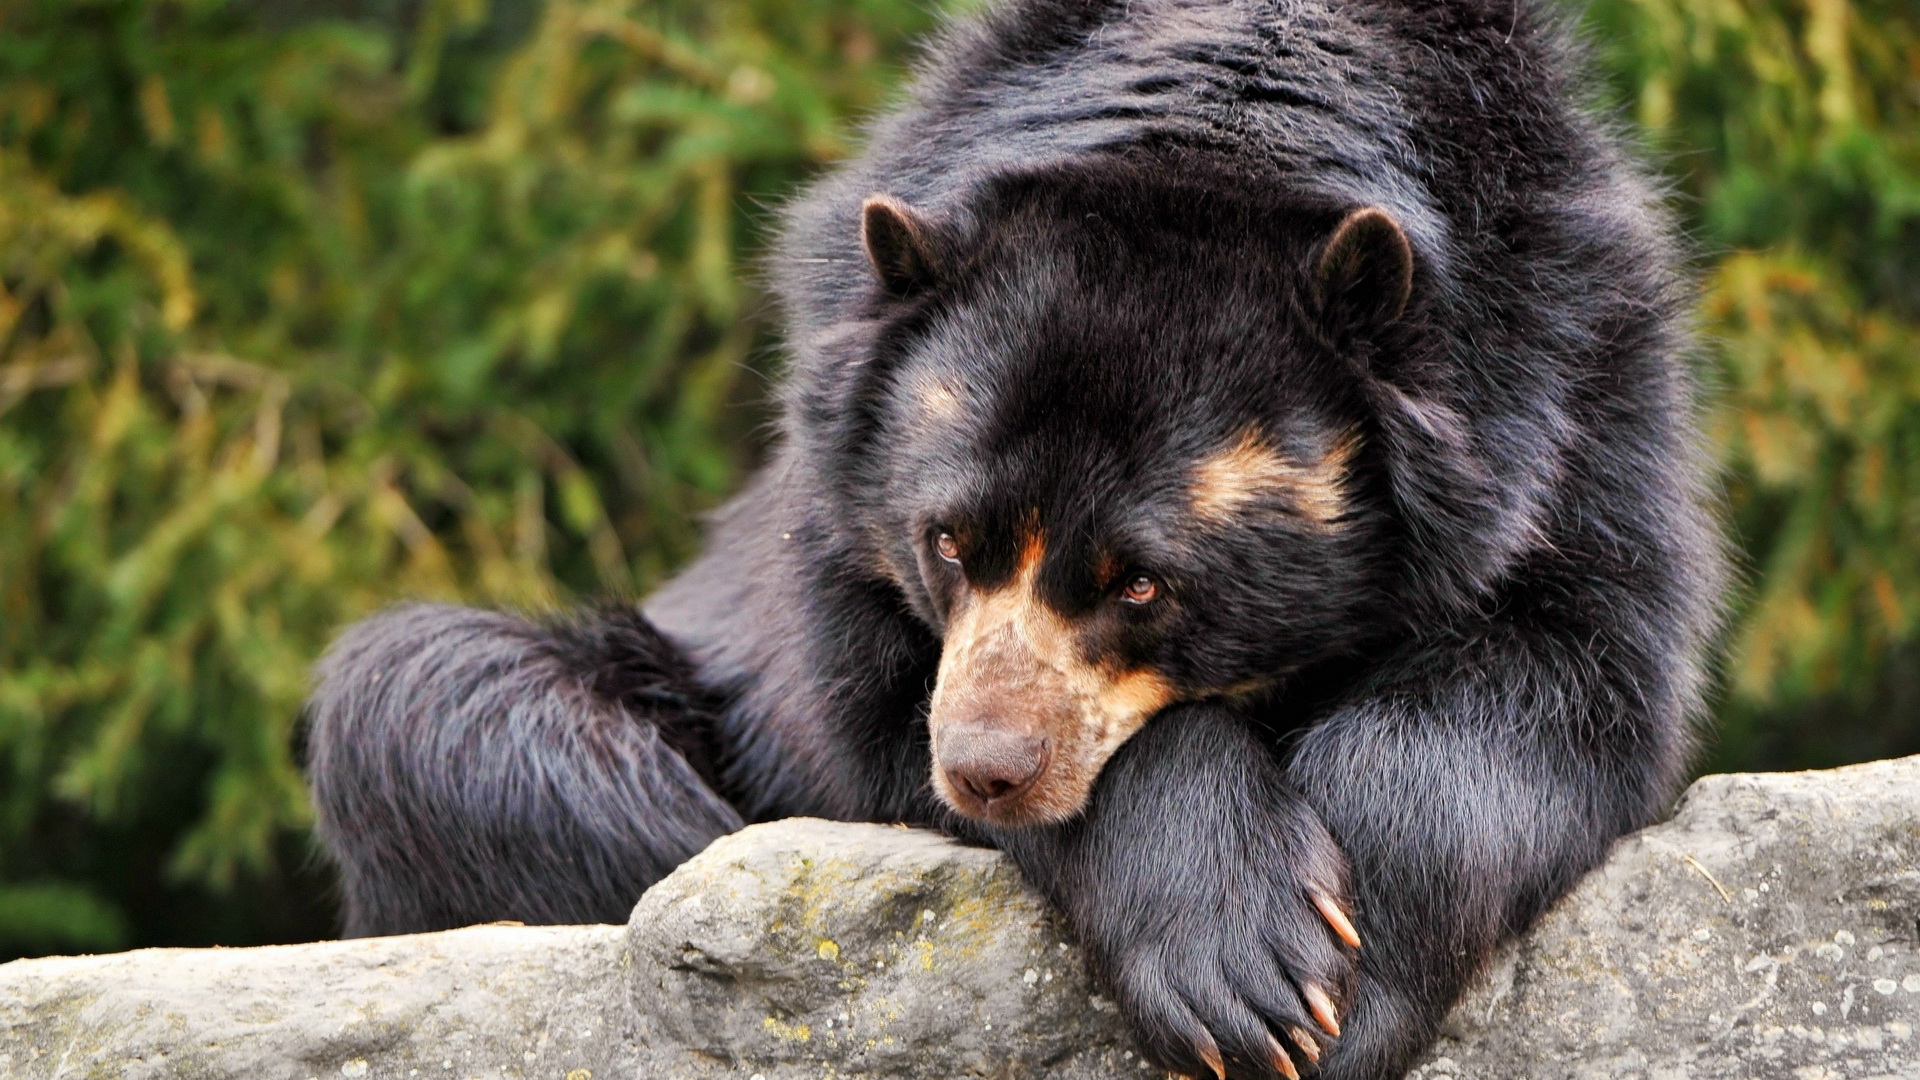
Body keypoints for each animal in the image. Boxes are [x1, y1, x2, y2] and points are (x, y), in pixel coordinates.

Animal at [303, 2, 1728, 1076]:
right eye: (947, 541)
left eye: (1143, 584)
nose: (987, 768)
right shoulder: (835, 500)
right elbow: (871, 718)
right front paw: (1245, 970)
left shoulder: (1578, 389)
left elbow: (1566, 673)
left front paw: (1340, 989)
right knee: (432, 706)